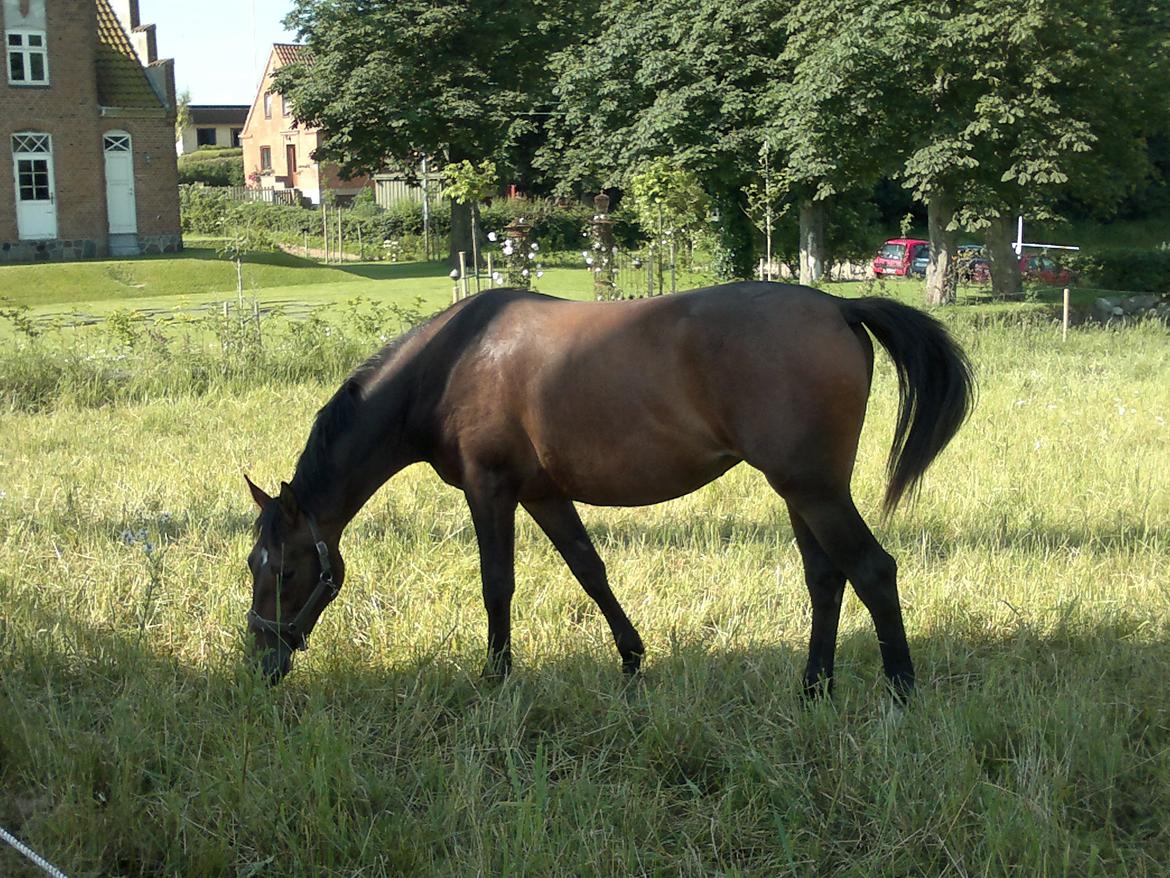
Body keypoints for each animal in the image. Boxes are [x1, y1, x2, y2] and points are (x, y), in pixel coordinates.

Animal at [242, 285, 973, 697]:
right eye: (256, 565)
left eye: (285, 570)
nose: (259, 661)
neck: (451, 361)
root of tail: (840, 307)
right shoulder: (543, 493)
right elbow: (589, 570)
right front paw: (631, 659)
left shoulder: (490, 488)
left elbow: (497, 583)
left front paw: (496, 676)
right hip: (800, 493)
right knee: (826, 577)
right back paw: (814, 688)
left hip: (815, 490)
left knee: (873, 570)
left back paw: (901, 692)